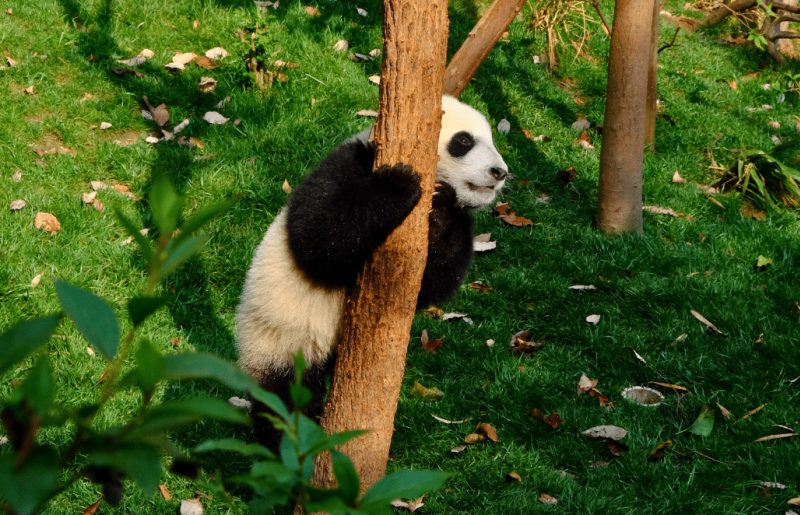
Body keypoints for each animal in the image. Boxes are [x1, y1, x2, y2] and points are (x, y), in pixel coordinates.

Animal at [235, 95, 508, 452]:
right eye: (463, 142)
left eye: (491, 140)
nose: (500, 172)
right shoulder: (348, 162)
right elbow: (319, 237)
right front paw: (399, 184)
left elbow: (431, 284)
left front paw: (443, 211)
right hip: (279, 336)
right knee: (285, 397)